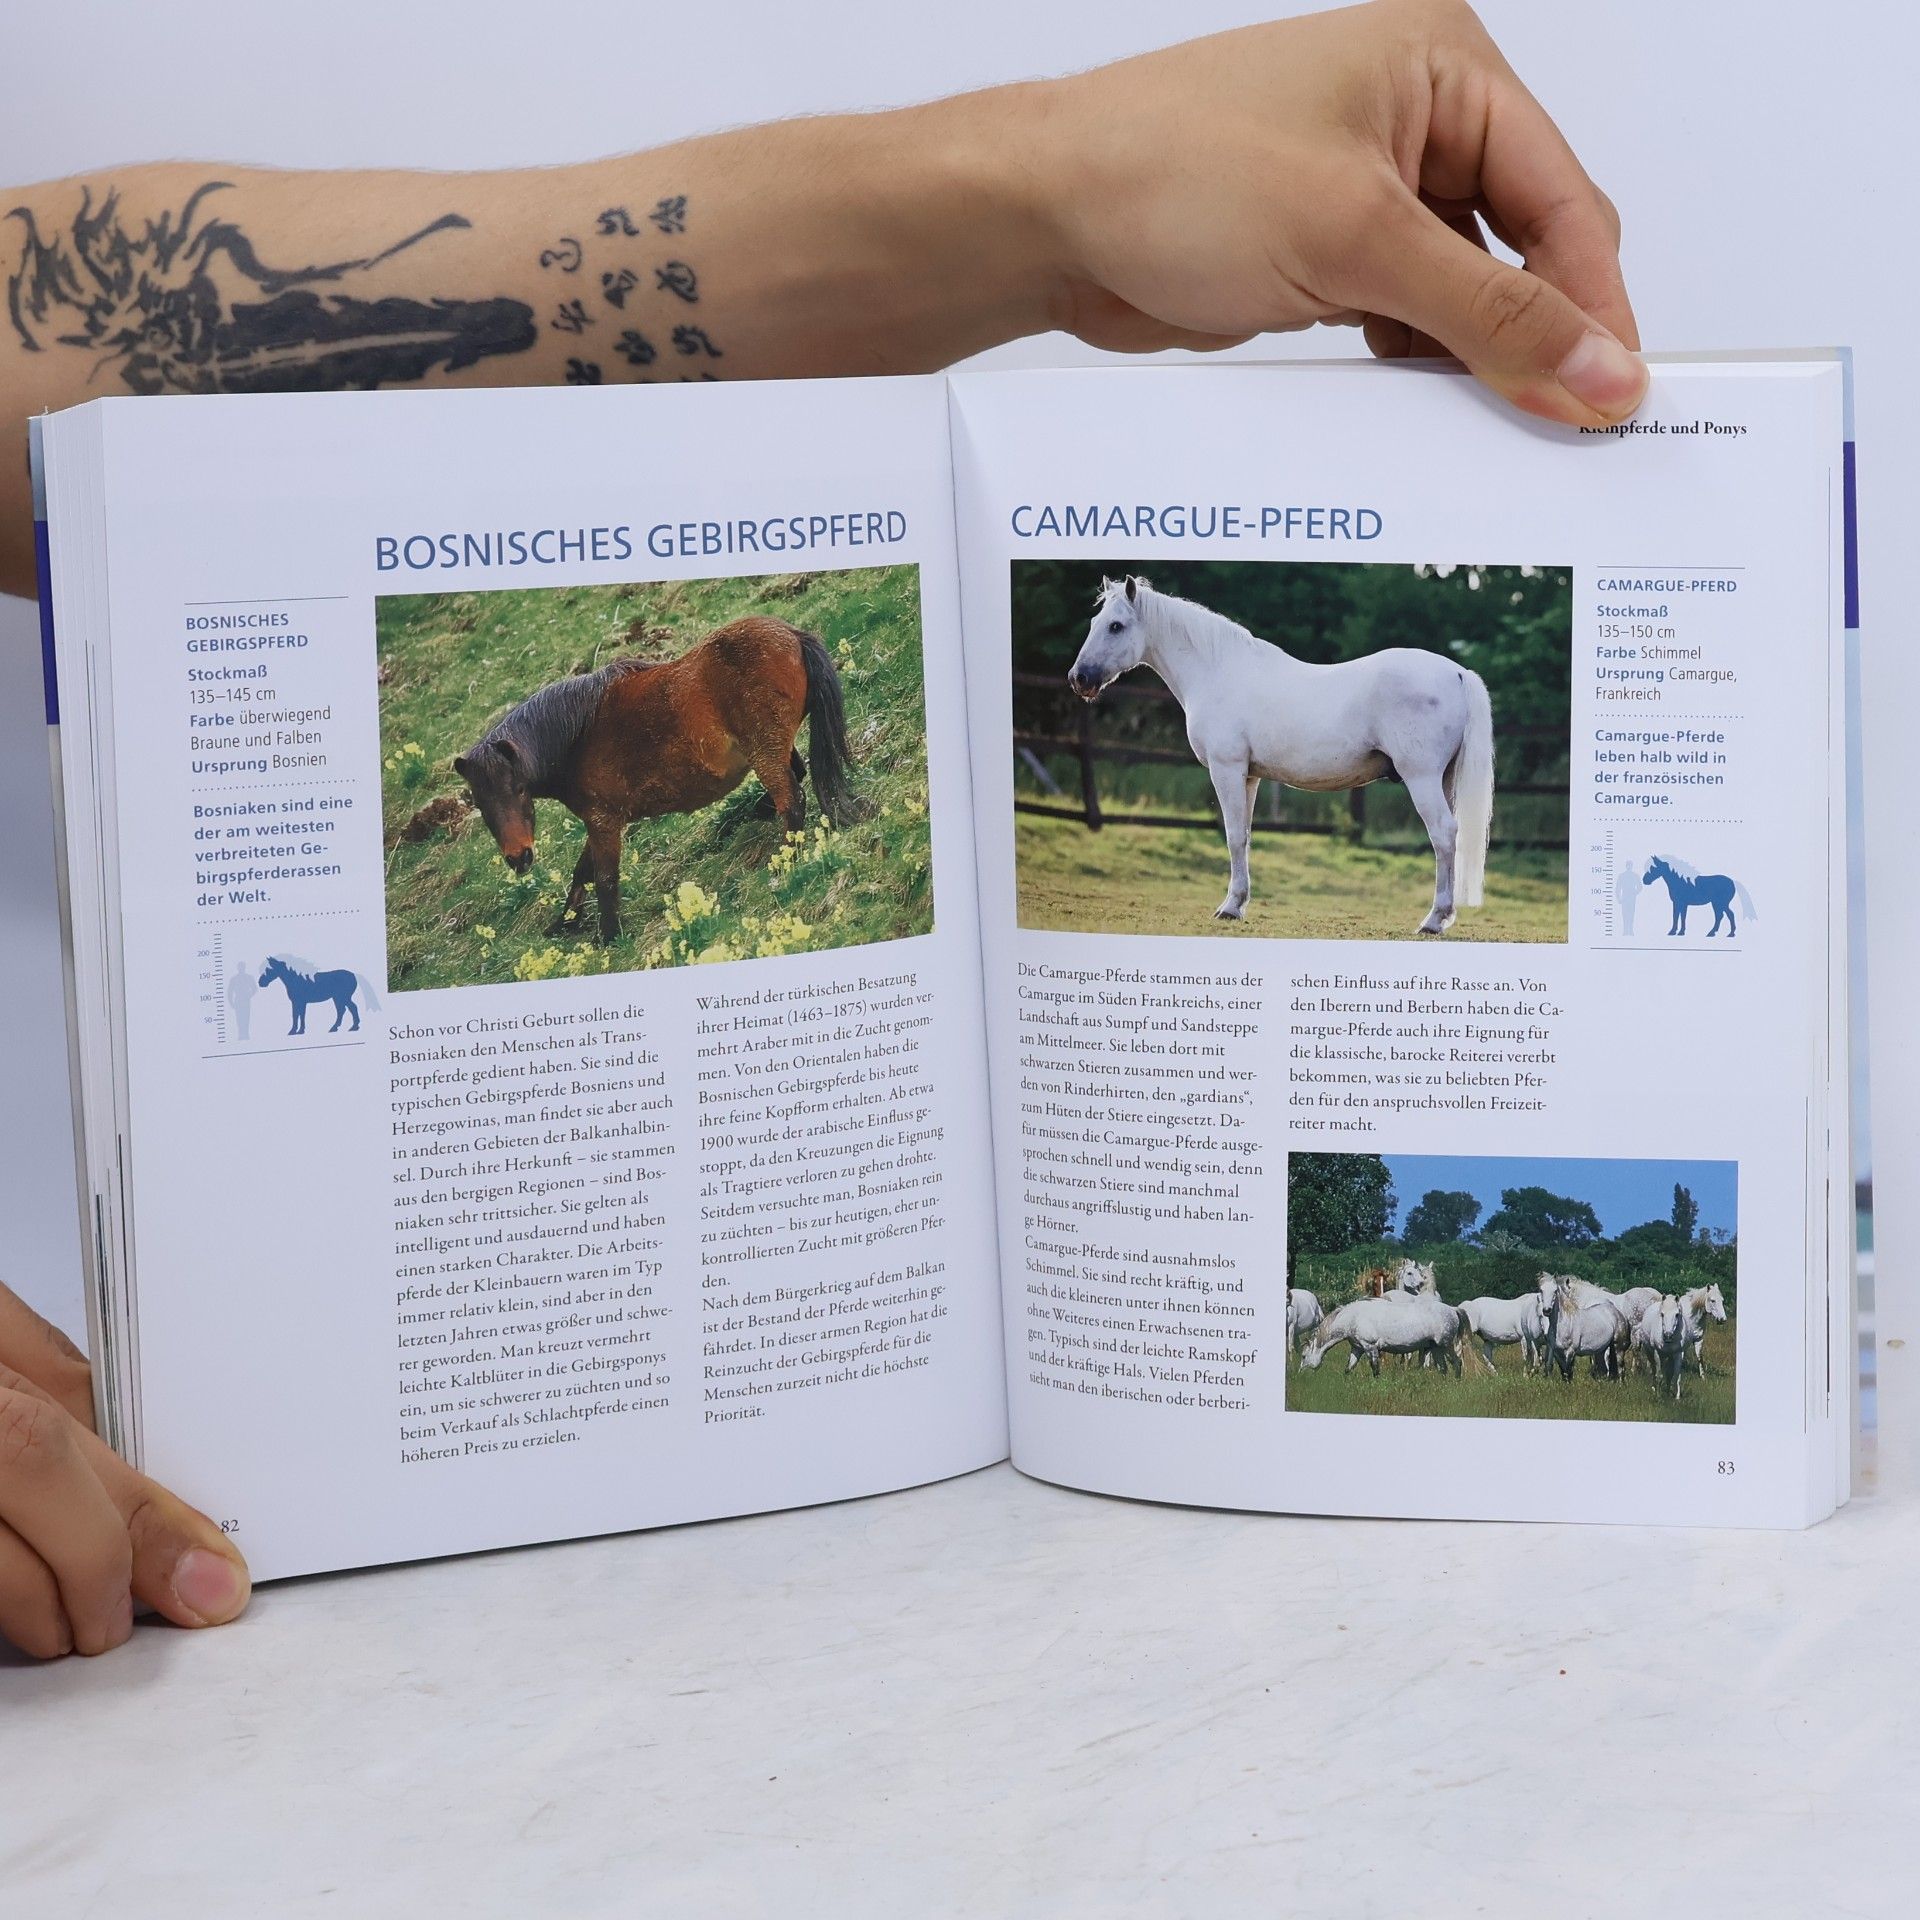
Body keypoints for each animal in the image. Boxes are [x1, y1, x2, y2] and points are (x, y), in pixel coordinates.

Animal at [454, 616, 855, 942]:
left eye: (520, 789)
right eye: (480, 803)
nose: (519, 858)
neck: (579, 733)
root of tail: (791, 634)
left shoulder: (603, 821)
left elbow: (604, 878)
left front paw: (608, 938)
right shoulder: (601, 820)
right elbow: (583, 872)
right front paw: (564, 923)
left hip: (765, 751)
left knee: (792, 799)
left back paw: (785, 858)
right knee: (795, 778)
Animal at [1066, 576, 1495, 935]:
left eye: (1116, 626)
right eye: (1094, 622)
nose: (1078, 678)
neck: (1218, 672)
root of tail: (1458, 673)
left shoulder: (1227, 769)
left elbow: (1233, 836)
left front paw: (1228, 908)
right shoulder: (1250, 775)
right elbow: (1245, 836)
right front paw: (1238, 904)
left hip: (1420, 778)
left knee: (1443, 833)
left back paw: (1434, 920)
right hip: (1442, 780)